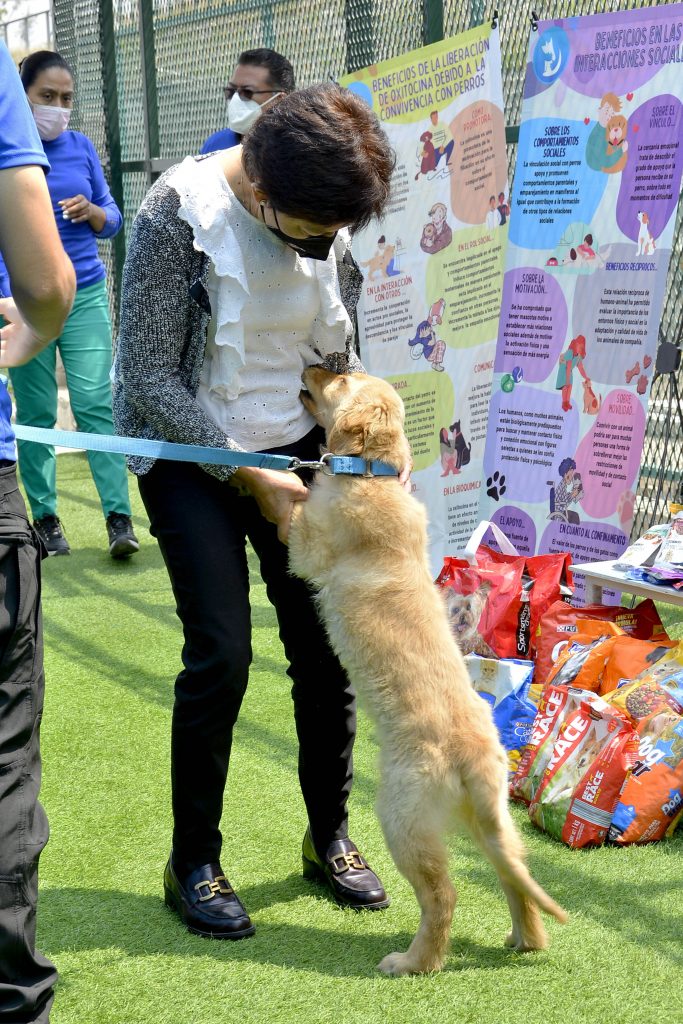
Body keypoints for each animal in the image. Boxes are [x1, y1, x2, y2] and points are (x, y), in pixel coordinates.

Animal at [288, 368, 565, 974]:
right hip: (489, 822)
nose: (312, 365)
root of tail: (474, 754)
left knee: (443, 895)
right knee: (514, 876)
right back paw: (526, 939)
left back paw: (413, 962)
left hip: (402, 815)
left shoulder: (309, 543)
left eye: (339, 377)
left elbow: (291, 505)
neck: (373, 477)